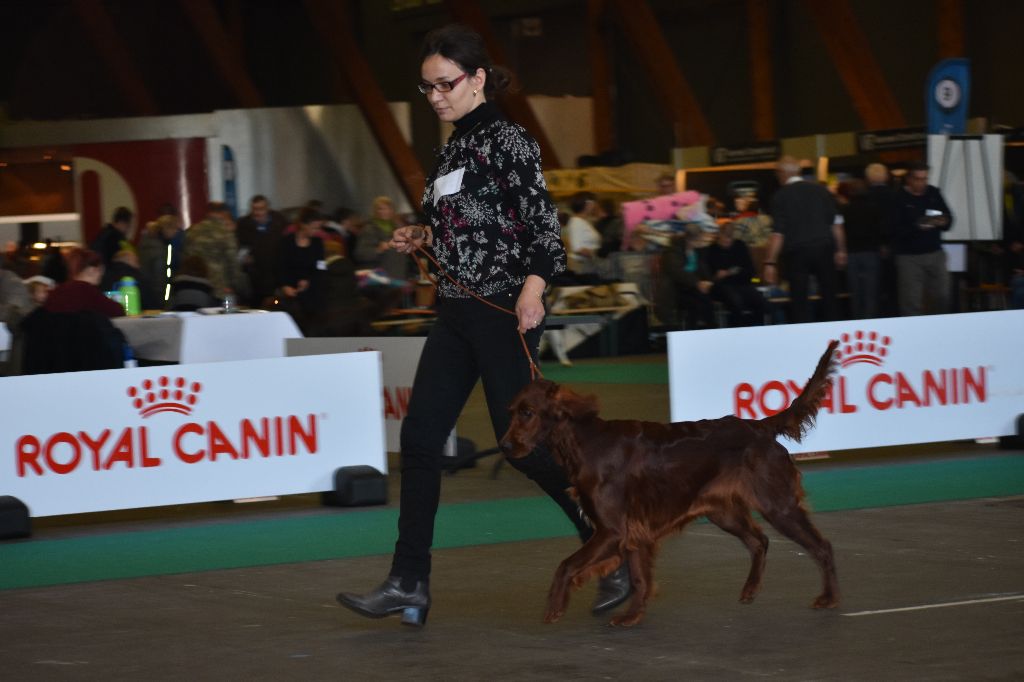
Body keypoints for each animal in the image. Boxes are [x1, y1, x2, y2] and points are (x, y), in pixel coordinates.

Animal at [497, 342, 839, 622]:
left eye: (528, 412)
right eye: (511, 411)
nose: (504, 446)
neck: (585, 442)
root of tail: (761, 427)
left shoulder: (612, 529)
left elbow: (566, 565)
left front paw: (555, 606)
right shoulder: (631, 530)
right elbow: (638, 577)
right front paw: (632, 616)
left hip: (777, 505)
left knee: (822, 546)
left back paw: (829, 598)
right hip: (722, 511)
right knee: (760, 541)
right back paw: (750, 590)